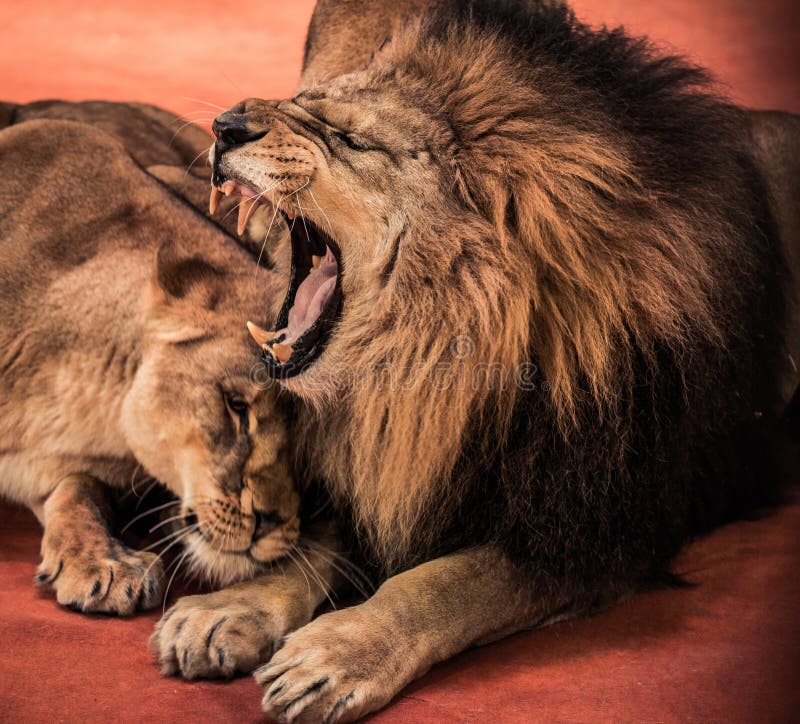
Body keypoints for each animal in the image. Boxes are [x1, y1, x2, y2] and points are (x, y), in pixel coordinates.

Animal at [152, 0, 800, 720]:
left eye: (352, 140)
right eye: (303, 104)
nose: (225, 126)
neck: (431, 366)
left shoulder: (600, 526)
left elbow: (444, 583)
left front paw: (336, 655)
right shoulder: (397, 460)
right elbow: (320, 541)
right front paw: (229, 610)